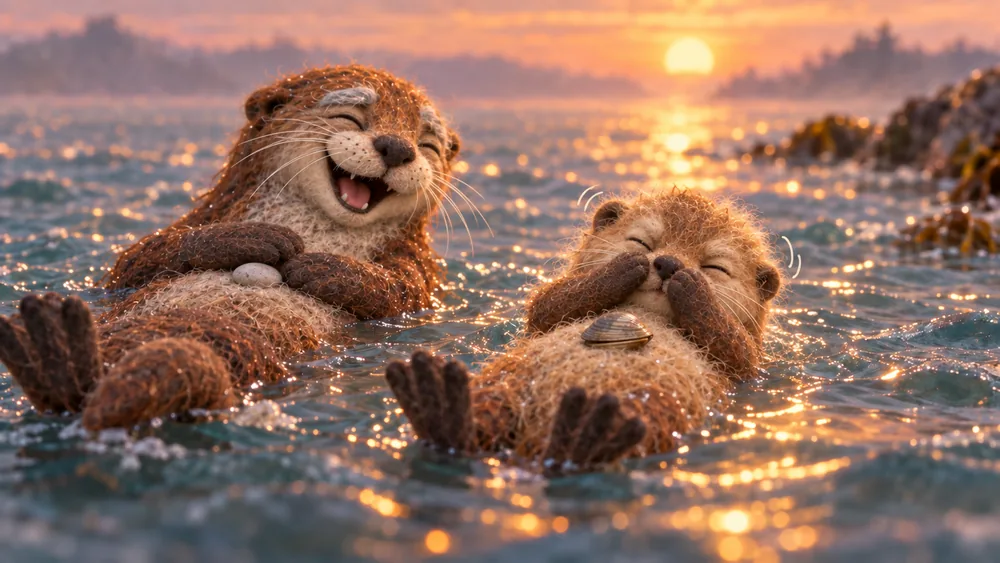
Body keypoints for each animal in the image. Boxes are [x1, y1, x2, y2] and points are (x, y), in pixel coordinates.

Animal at [0, 65, 462, 431]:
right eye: (351, 117)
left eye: (425, 143)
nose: (398, 147)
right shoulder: (204, 216)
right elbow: (138, 260)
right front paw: (262, 238)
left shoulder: (419, 269)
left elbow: (400, 291)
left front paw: (318, 266)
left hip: (251, 357)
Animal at [385, 189, 782, 474]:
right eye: (641, 242)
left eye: (714, 267)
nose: (669, 264)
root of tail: (535, 447)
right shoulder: (545, 314)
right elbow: (548, 304)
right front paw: (625, 266)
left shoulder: (745, 369)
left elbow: (739, 353)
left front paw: (693, 287)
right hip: (506, 383)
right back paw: (439, 406)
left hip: (655, 413)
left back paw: (585, 437)